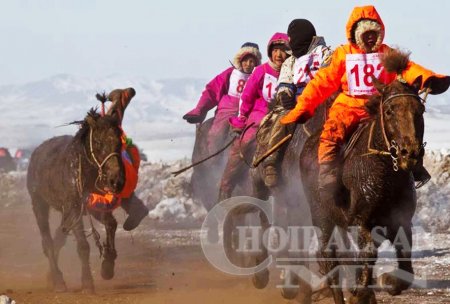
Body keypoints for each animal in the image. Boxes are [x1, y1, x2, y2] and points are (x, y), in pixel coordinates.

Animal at [26, 87, 134, 292]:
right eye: (98, 142)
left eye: (119, 142)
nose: (117, 181)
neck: (84, 169)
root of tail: (36, 154)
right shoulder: (75, 208)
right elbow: (83, 246)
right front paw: (87, 283)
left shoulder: (94, 205)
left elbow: (111, 224)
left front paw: (107, 266)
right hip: (39, 204)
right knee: (48, 241)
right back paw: (58, 280)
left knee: (59, 237)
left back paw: (51, 277)